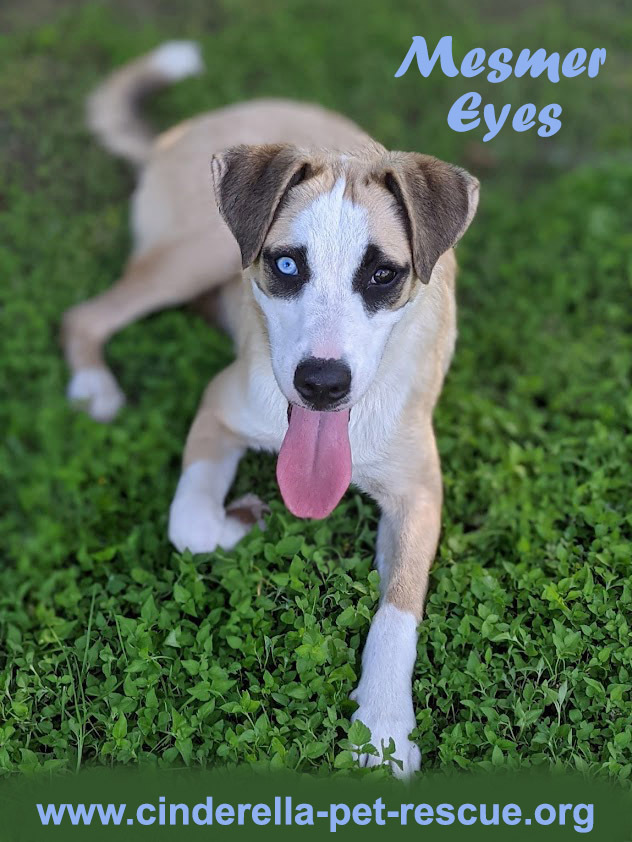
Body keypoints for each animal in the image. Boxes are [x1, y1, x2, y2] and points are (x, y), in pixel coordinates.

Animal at [64, 39, 478, 776]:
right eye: (286, 266)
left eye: (384, 274)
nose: (322, 384)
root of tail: (176, 133)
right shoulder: (220, 407)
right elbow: (189, 524)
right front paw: (244, 519)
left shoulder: (420, 492)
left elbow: (397, 611)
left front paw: (382, 727)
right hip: (199, 251)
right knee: (85, 316)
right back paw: (94, 385)